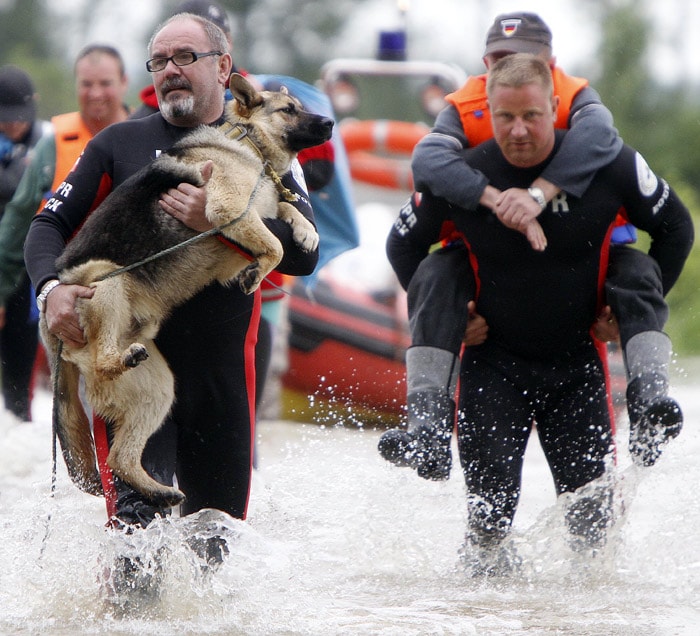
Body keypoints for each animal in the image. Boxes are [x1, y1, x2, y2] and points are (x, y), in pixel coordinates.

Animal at [43, 73, 334, 506]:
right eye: (289, 110)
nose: (331, 123)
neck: (246, 142)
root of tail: (50, 331)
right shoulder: (230, 212)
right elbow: (275, 246)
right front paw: (258, 270)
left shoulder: (248, 220)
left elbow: (284, 214)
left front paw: (306, 231)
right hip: (108, 279)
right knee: (105, 363)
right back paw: (119, 358)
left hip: (160, 390)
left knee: (120, 458)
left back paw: (159, 490)